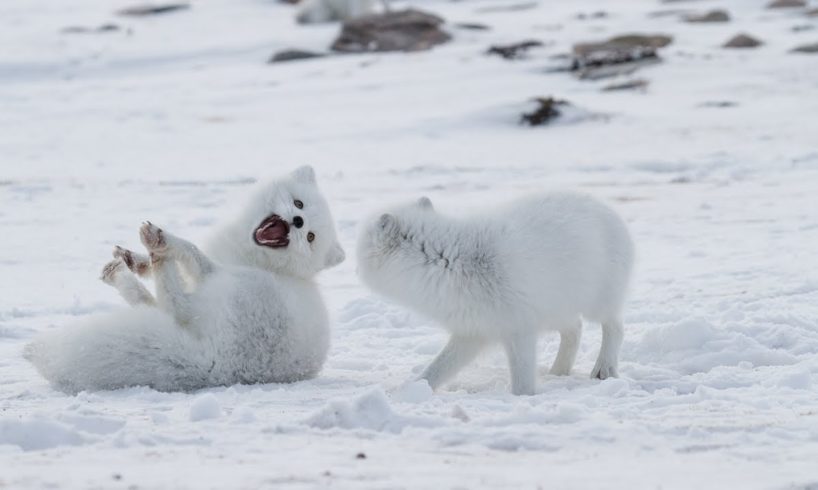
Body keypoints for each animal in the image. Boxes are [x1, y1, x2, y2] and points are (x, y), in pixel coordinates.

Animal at [24, 167, 344, 392]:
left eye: (310, 237)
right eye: (298, 203)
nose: (298, 222)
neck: (254, 256)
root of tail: (217, 367)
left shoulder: (212, 268)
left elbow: (191, 251)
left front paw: (161, 245)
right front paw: (137, 260)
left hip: (234, 286)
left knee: (174, 304)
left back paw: (155, 247)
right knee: (158, 305)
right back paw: (126, 268)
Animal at [356, 193, 632, 396]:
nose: (355, 268)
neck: (451, 262)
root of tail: (609, 210)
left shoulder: (518, 328)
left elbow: (522, 380)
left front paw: (524, 398)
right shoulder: (472, 331)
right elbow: (438, 368)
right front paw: (411, 390)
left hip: (597, 303)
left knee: (615, 328)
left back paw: (604, 369)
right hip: (556, 309)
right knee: (575, 330)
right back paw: (558, 371)